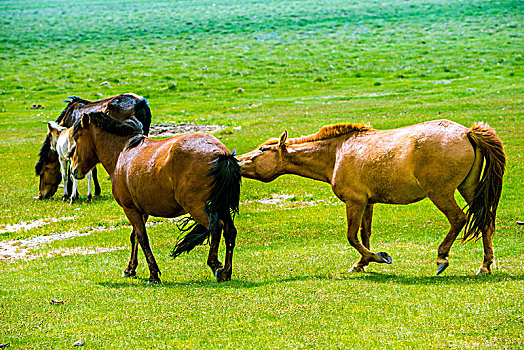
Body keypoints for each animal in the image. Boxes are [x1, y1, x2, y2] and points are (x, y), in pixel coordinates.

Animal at [70, 113, 242, 284]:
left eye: (77, 138)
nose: (73, 170)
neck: (123, 152)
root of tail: (221, 154)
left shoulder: (130, 209)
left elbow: (143, 238)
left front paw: (153, 274)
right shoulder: (141, 211)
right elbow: (134, 237)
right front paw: (130, 268)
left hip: (197, 208)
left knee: (216, 227)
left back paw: (216, 266)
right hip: (221, 206)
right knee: (230, 231)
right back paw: (227, 271)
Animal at [239, 120, 506, 276]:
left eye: (263, 149)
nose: (236, 160)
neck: (336, 153)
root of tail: (467, 132)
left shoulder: (354, 202)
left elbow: (352, 236)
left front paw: (378, 257)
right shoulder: (368, 203)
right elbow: (365, 235)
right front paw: (362, 263)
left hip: (440, 193)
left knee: (458, 219)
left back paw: (442, 259)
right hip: (469, 188)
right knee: (485, 221)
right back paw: (485, 266)